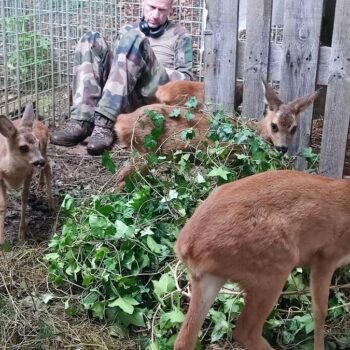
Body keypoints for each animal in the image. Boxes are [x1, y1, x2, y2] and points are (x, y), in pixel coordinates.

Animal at [0, 102, 54, 245]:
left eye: (37, 142)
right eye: (23, 147)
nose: (39, 160)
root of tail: (39, 121)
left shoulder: (28, 172)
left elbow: (24, 197)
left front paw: (22, 233)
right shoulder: (0, 177)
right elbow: (2, 205)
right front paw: (1, 242)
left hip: (44, 151)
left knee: (47, 168)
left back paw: (51, 204)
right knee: (45, 168)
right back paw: (40, 184)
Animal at [176, 168, 350, 348]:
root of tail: (186, 246)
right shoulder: (327, 254)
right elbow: (320, 311)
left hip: (210, 279)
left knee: (183, 340)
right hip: (273, 268)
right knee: (245, 332)